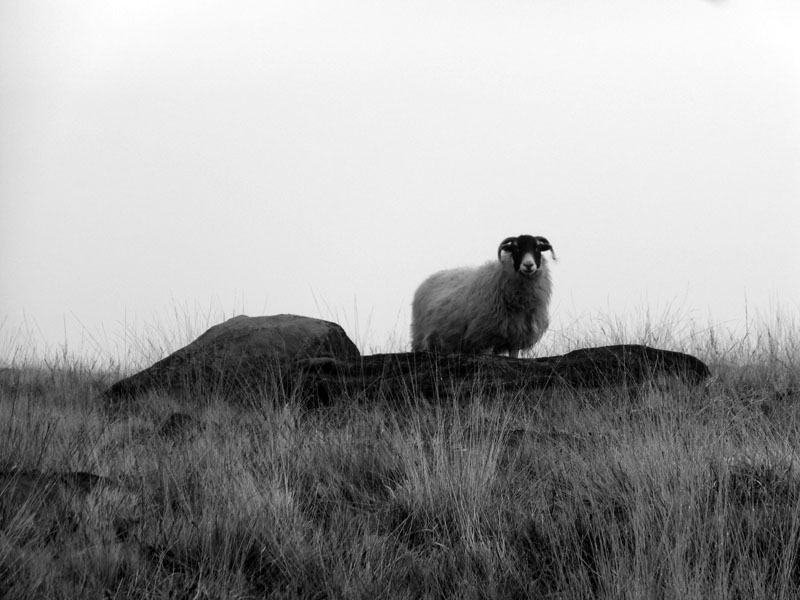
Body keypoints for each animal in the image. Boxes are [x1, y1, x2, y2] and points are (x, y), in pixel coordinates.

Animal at [411, 234, 555, 358]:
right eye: (516, 248)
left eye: (537, 248)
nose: (528, 265)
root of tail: (428, 279)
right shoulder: (485, 335)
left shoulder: (515, 337)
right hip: (421, 336)